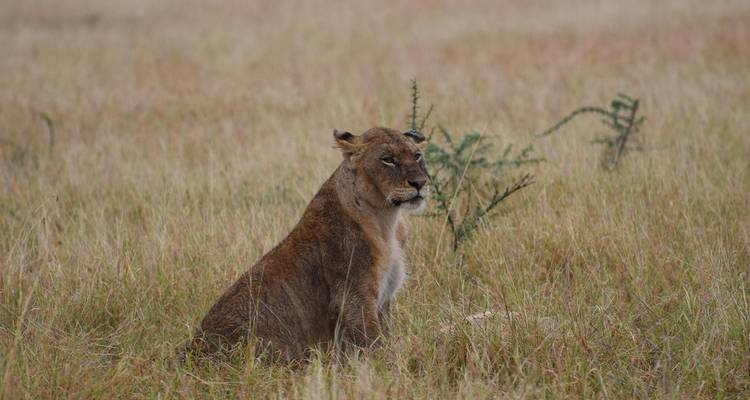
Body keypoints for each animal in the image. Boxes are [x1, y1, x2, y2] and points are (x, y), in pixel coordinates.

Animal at [185, 127, 428, 361]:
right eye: (388, 159)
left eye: (417, 156)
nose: (420, 183)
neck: (387, 219)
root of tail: (190, 350)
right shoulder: (353, 295)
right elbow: (373, 342)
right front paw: (386, 365)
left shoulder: (384, 298)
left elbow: (386, 334)